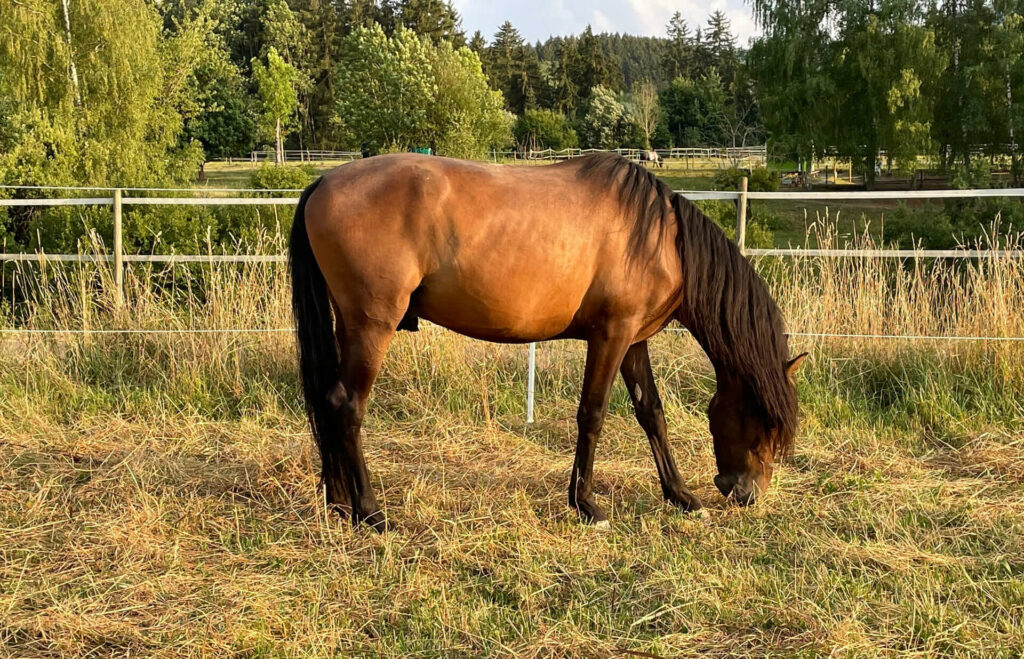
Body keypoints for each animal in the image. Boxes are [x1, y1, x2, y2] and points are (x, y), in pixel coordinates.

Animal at [290, 150, 806, 532]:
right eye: (765, 419)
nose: (748, 493)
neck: (660, 239)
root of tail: (324, 181)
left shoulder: (633, 340)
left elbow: (652, 414)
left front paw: (680, 495)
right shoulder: (611, 335)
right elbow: (592, 415)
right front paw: (587, 506)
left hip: (348, 325)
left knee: (328, 403)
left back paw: (339, 502)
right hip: (371, 327)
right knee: (347, 406)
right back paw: (370, 512)